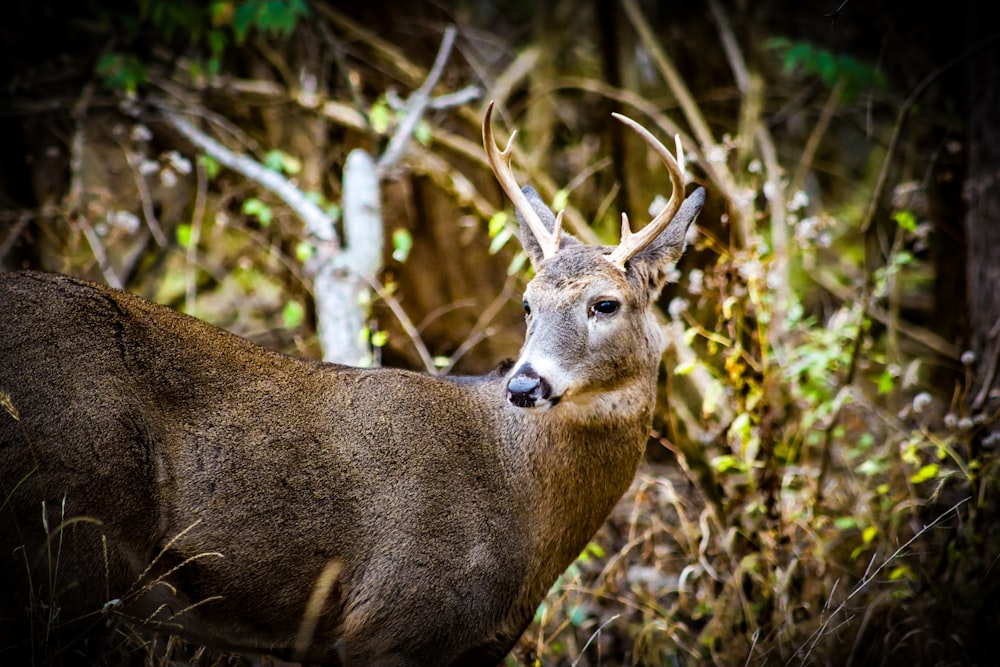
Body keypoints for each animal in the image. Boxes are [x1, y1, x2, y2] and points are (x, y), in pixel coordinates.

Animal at [0, 102, 704, 664]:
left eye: (605, 304)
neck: (519, 501)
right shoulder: (392, 622)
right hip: (66, 529)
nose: (525, 385)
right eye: (527, 302)